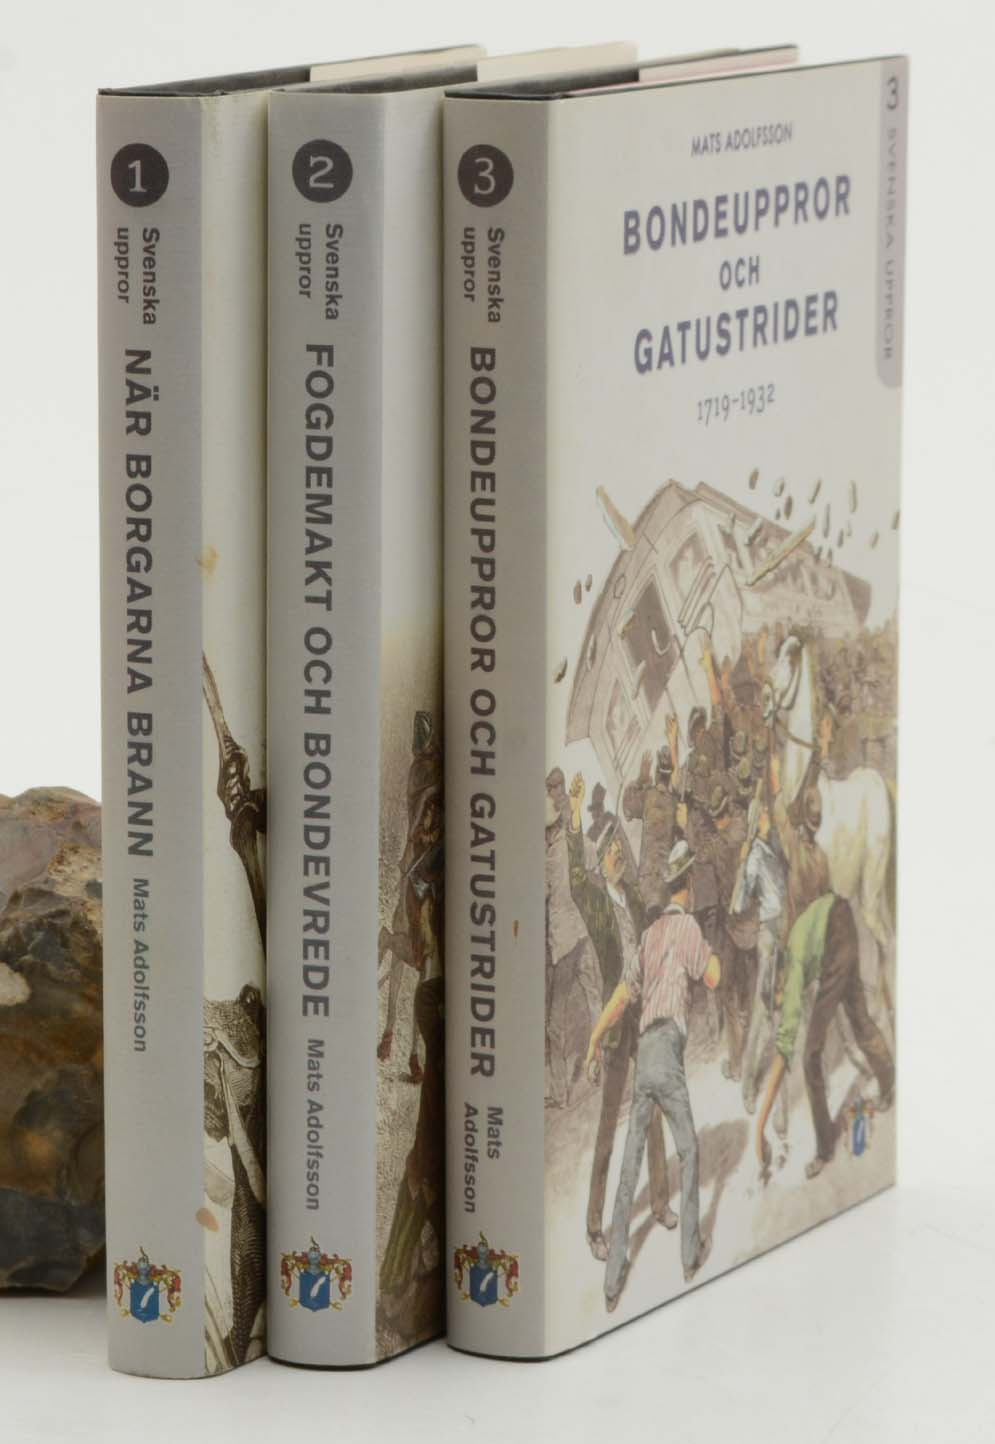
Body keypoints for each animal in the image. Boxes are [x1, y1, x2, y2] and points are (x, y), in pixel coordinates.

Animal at [766, 634, 895, 1030]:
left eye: (789, 660)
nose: (765, 698)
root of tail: (877, 781)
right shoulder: (801, 894)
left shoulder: (829, 897)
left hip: (869, 889)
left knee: (884, 941)